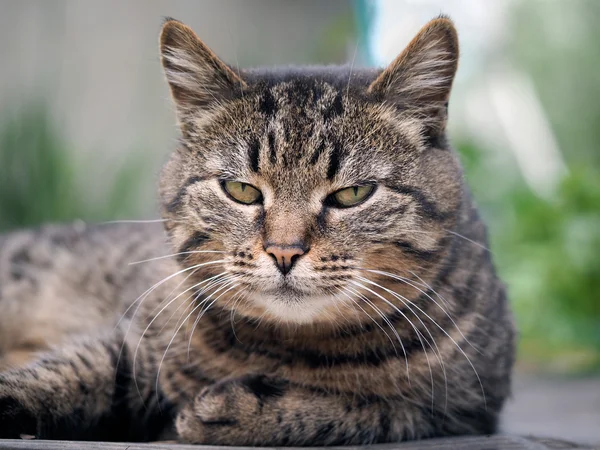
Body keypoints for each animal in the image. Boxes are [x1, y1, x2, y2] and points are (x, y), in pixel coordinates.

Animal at [0, 15, 516, 444]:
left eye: (353, 193)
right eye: (241, 190)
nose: (284, 252)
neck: (289, 348)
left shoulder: (463, 408)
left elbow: (368, 407)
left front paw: (245, 407)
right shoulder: (131, 341)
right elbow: (72, 370)